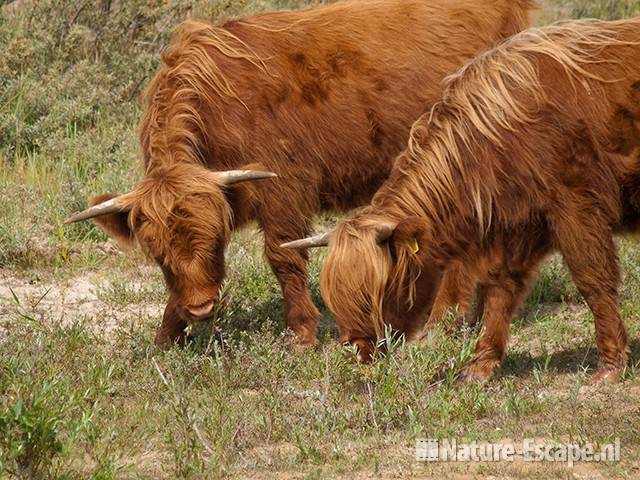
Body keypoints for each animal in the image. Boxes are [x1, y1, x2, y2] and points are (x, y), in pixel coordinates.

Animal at [65, 0, 536, 346]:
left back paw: (446, 320)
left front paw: (301, 333)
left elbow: (284, 258)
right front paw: (167, 335)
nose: (200, 308)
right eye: (158, 253)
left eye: (214, 240)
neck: (218, 105)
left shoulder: (283, 191)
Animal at [288, 17, 640, 382]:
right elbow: (500, 289)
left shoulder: (577, 208)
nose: (357, 350)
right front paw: (480, 365)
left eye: (376, 291)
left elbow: (593, 280)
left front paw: (610, 364)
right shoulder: (519, 228)